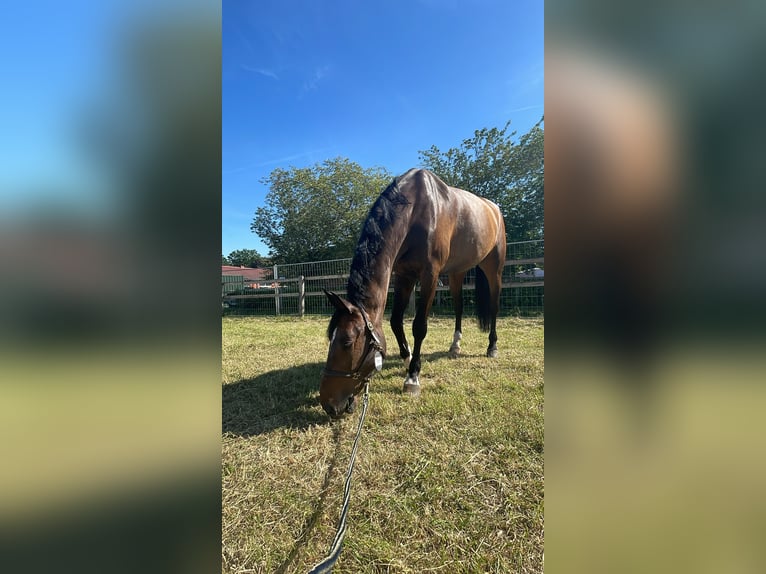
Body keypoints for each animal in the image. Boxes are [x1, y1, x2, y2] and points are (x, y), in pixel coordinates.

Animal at [320, 169, 508, 420]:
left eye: (348, 342)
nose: (328, 404)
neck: (417, 210)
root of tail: (493, 209)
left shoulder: (429, 275)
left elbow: (419, 326)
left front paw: (412, 376)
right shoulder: (404, 275)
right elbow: (395, 320)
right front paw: (407, 356)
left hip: (494, 268)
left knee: (494, 306)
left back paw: (492, 347)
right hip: (457, 272)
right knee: (459, 306)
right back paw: (455, 346)